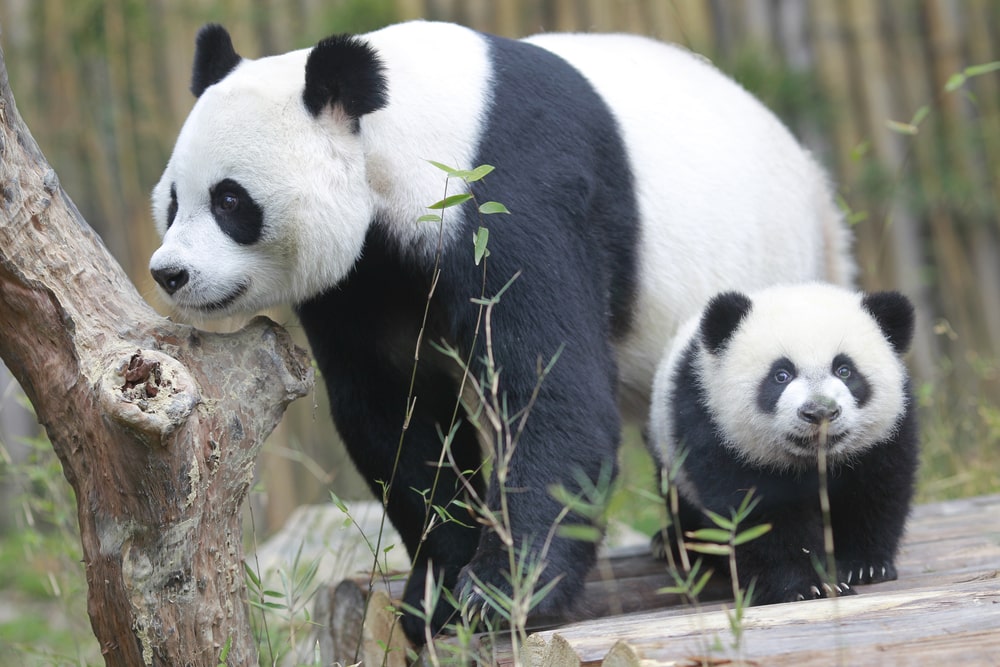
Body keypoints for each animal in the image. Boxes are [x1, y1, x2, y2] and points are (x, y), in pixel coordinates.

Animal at [148, 18, 852, 640]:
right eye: (173, 201)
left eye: (230, 200)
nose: (169, 273)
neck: (405, 132)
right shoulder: (364, 277)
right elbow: (396, 416)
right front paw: (436, 594)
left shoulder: (509, 196)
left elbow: (551, 393)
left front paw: (499, 593)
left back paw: (709, 547)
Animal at [644, 282, 916, 604]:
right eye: (781, 375)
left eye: (844, 370)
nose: (819, 412)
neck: (814, 460)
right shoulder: (716, 428)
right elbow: (758, 514)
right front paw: (807, 585)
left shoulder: (884, 437)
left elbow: (875, 491)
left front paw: (862, 566)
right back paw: (672, 543)